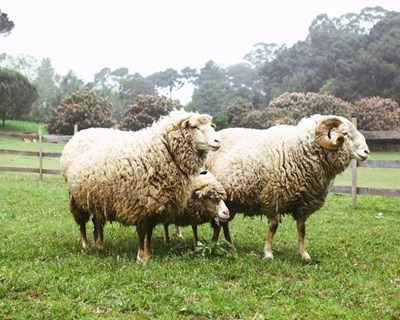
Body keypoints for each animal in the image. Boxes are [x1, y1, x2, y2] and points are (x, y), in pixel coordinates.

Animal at [61, 109, 222, 260]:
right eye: (194, 127)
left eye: (211, 126)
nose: (217, 141)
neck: (164, 148)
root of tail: (79, 133)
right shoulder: (139, 203)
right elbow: (142, 230)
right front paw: (140, 256)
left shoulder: (153, 202)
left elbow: (149, 231)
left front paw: (148, 254)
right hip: (76, 197)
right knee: (82, 223)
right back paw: (85, 245)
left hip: (97, 196)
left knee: (97, 221)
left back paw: (99, 244)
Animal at [205, 115, 370, 262]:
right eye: (345, 134)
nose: (367, 152)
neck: (299, 150)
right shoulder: (274, 197)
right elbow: (273, 226)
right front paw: (268, 253)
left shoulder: (304, 203)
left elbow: (302, 228)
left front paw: (304, 254)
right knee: (222, 223)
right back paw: (224, 245)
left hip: (229, 202)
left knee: (222, 222)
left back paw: (221, 244)